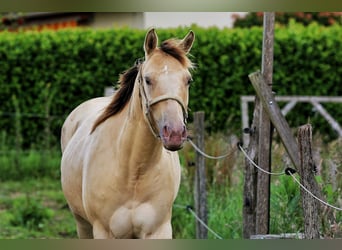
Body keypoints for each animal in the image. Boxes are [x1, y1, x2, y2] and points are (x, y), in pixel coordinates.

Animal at [60, 28, 196, 238]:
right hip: (82, 223)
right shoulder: (104, 232)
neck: (134, 171)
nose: (174, 133)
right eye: (147, 79)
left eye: (188, 80)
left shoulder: (159, 231)